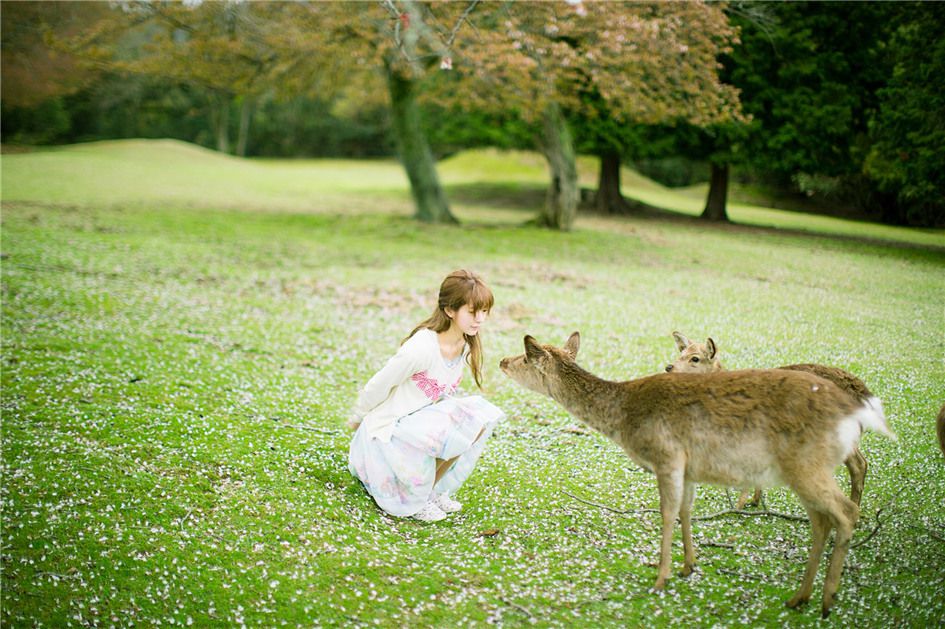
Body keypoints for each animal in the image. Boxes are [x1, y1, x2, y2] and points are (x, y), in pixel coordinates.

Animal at [664, 332, 872, 508]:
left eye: (695, 358)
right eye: (681, 352)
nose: (669, 367)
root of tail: (862, 392)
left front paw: (740, 506)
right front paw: (754, 501)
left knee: (859, 464)